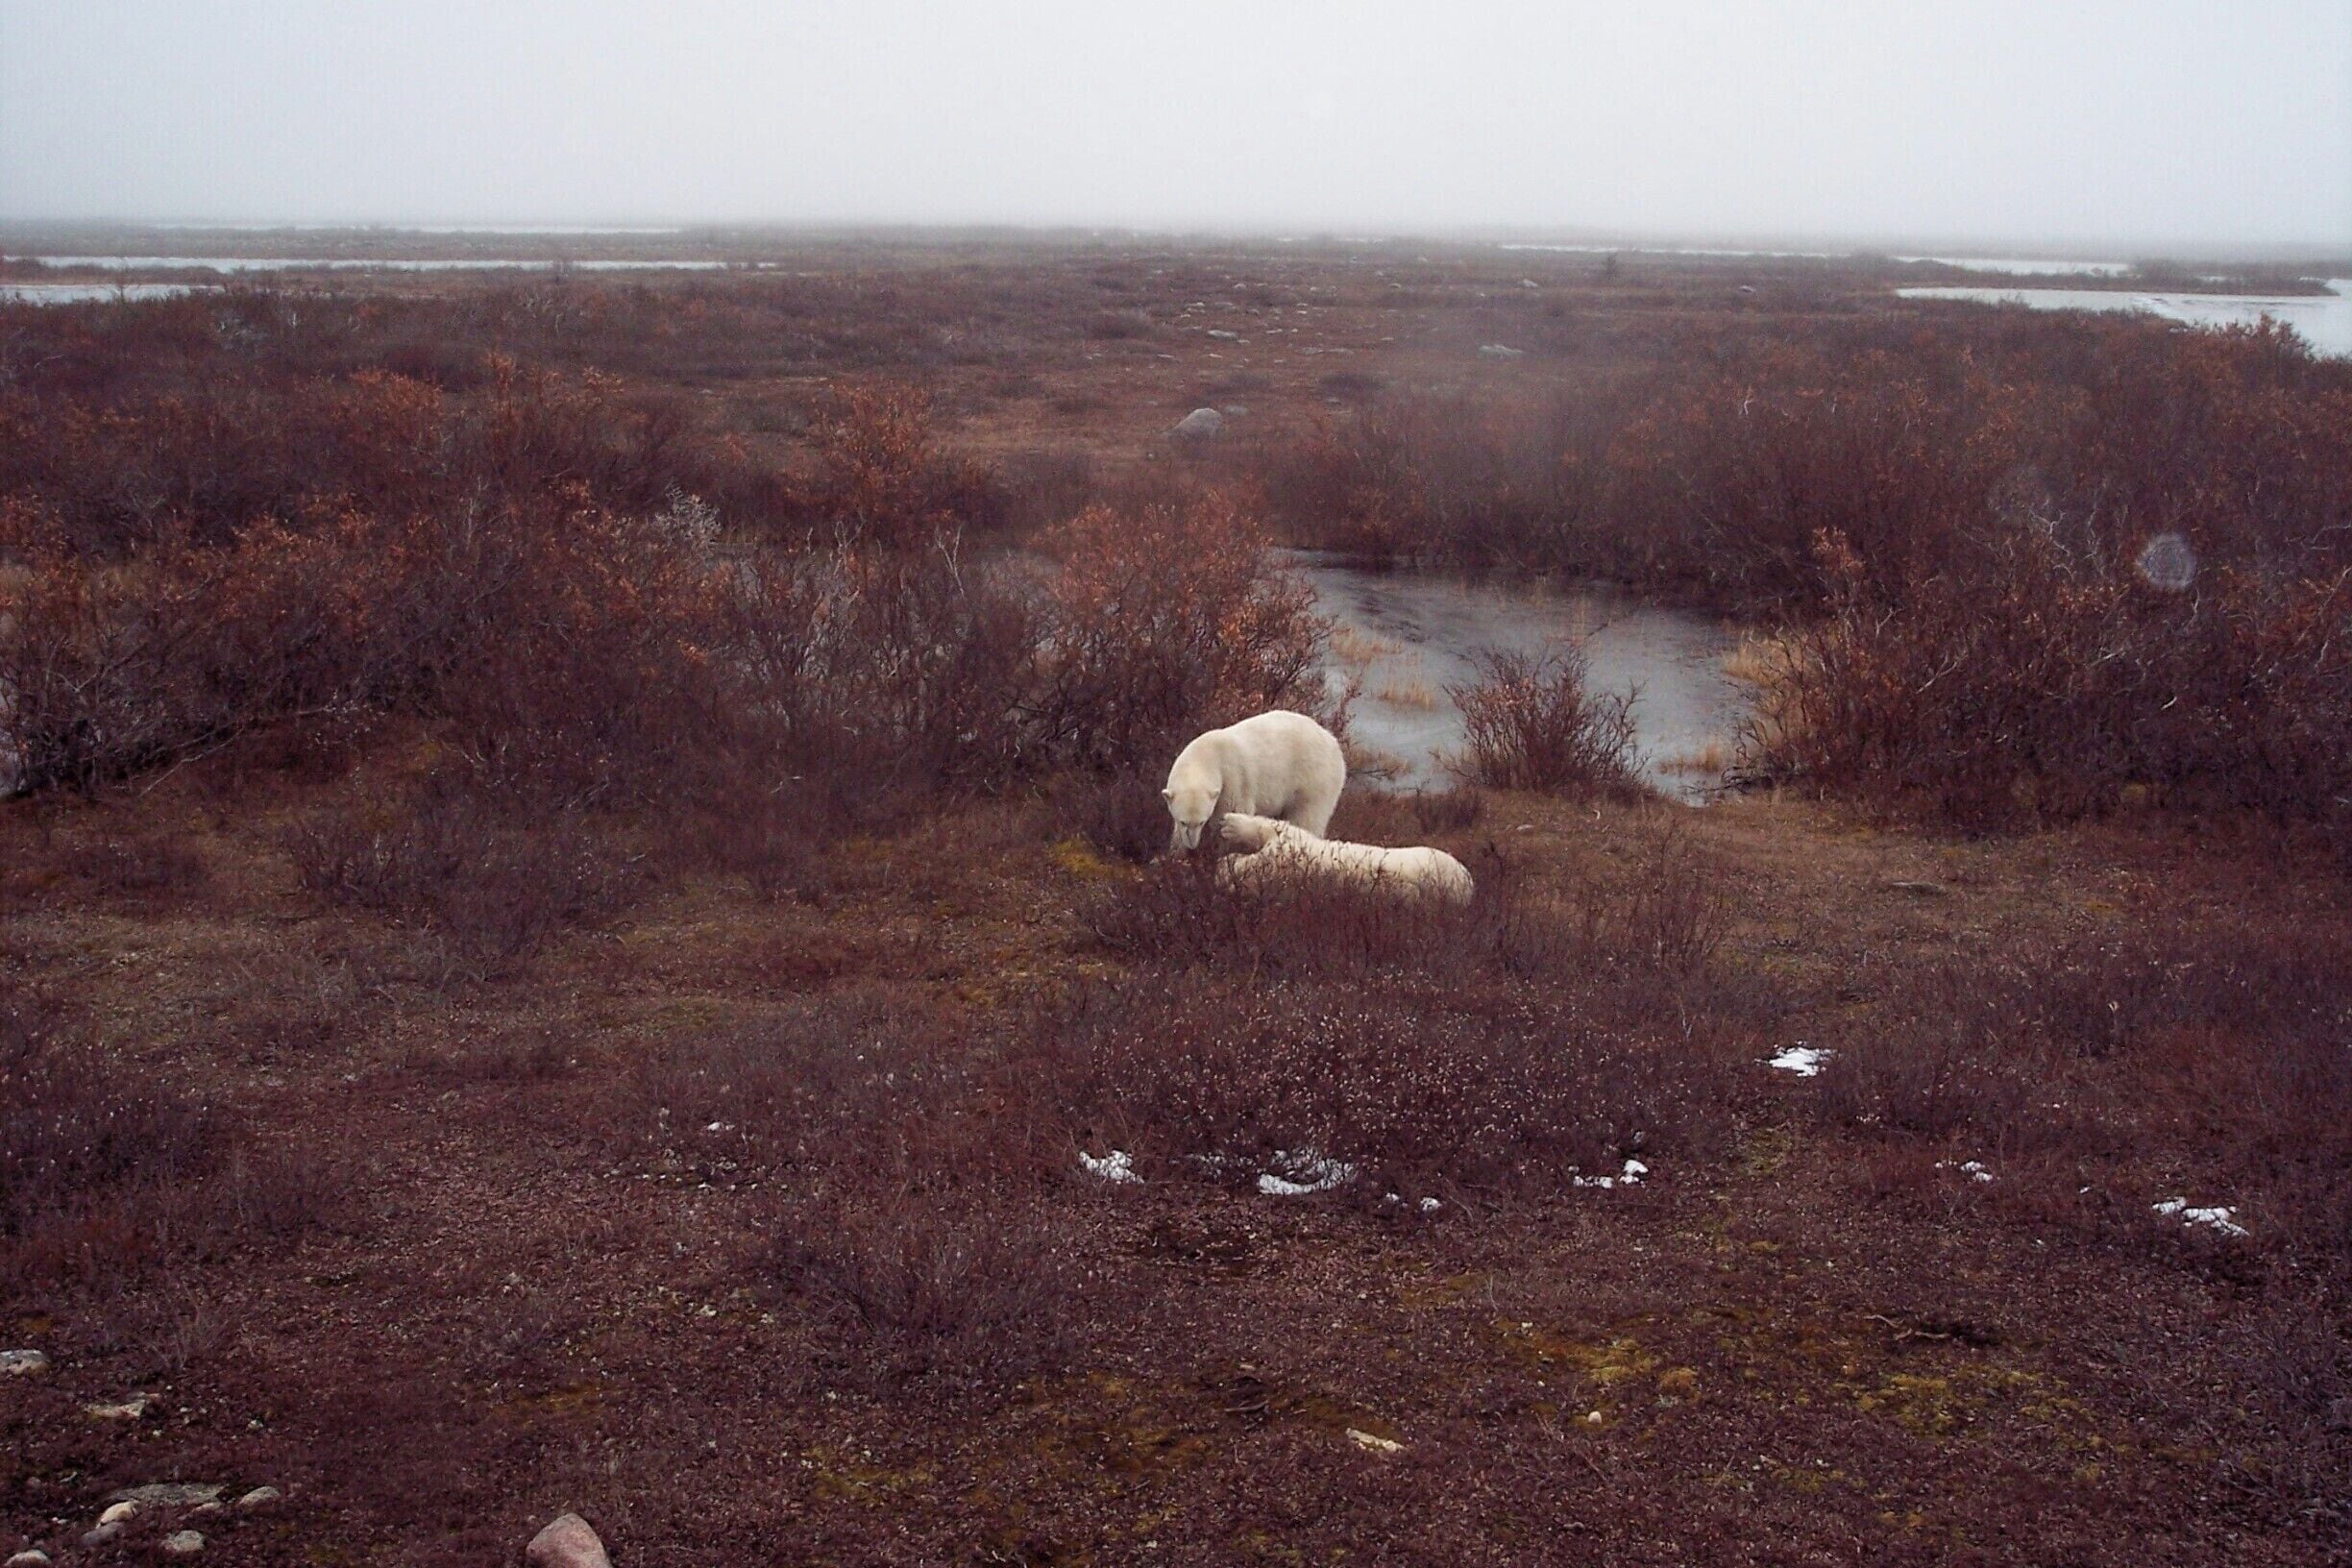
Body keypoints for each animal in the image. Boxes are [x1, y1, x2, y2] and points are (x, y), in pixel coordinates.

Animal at [1162, 710, 1347, 854]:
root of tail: (1333, 742)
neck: (1209, 753)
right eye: (1183, 821)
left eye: (1201, 821)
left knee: (1307, 817)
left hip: (1315, 779)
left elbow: (1232, 811)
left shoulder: (1233, 777)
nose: (1192, 845)